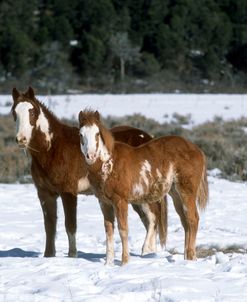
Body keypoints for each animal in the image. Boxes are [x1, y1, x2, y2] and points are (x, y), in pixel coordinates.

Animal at [11, 86, 166, 258]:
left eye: (32, 112)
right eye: (14, 112)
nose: (21, 139)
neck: (53, 148)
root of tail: (148, 138)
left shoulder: (68, 192)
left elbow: (70, 225)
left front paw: (72, 256)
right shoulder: (45, 194)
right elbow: (49, 226)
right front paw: (49, 256)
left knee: (153, 219)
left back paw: (145, 251)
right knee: (148, 220)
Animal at [78, 110, 208, 264]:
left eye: (97, 133)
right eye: (81, 134)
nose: (90, 155)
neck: (109, 163)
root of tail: (197, 150)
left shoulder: (120, 201)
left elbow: (123, 229)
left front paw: (124, 262)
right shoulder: (104, 203)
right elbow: (109, 230)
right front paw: (108, 263)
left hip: (186, 192)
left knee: (193, 219)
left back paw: (191, 257)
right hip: (176, 194)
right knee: (185, 221)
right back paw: (187, 258)